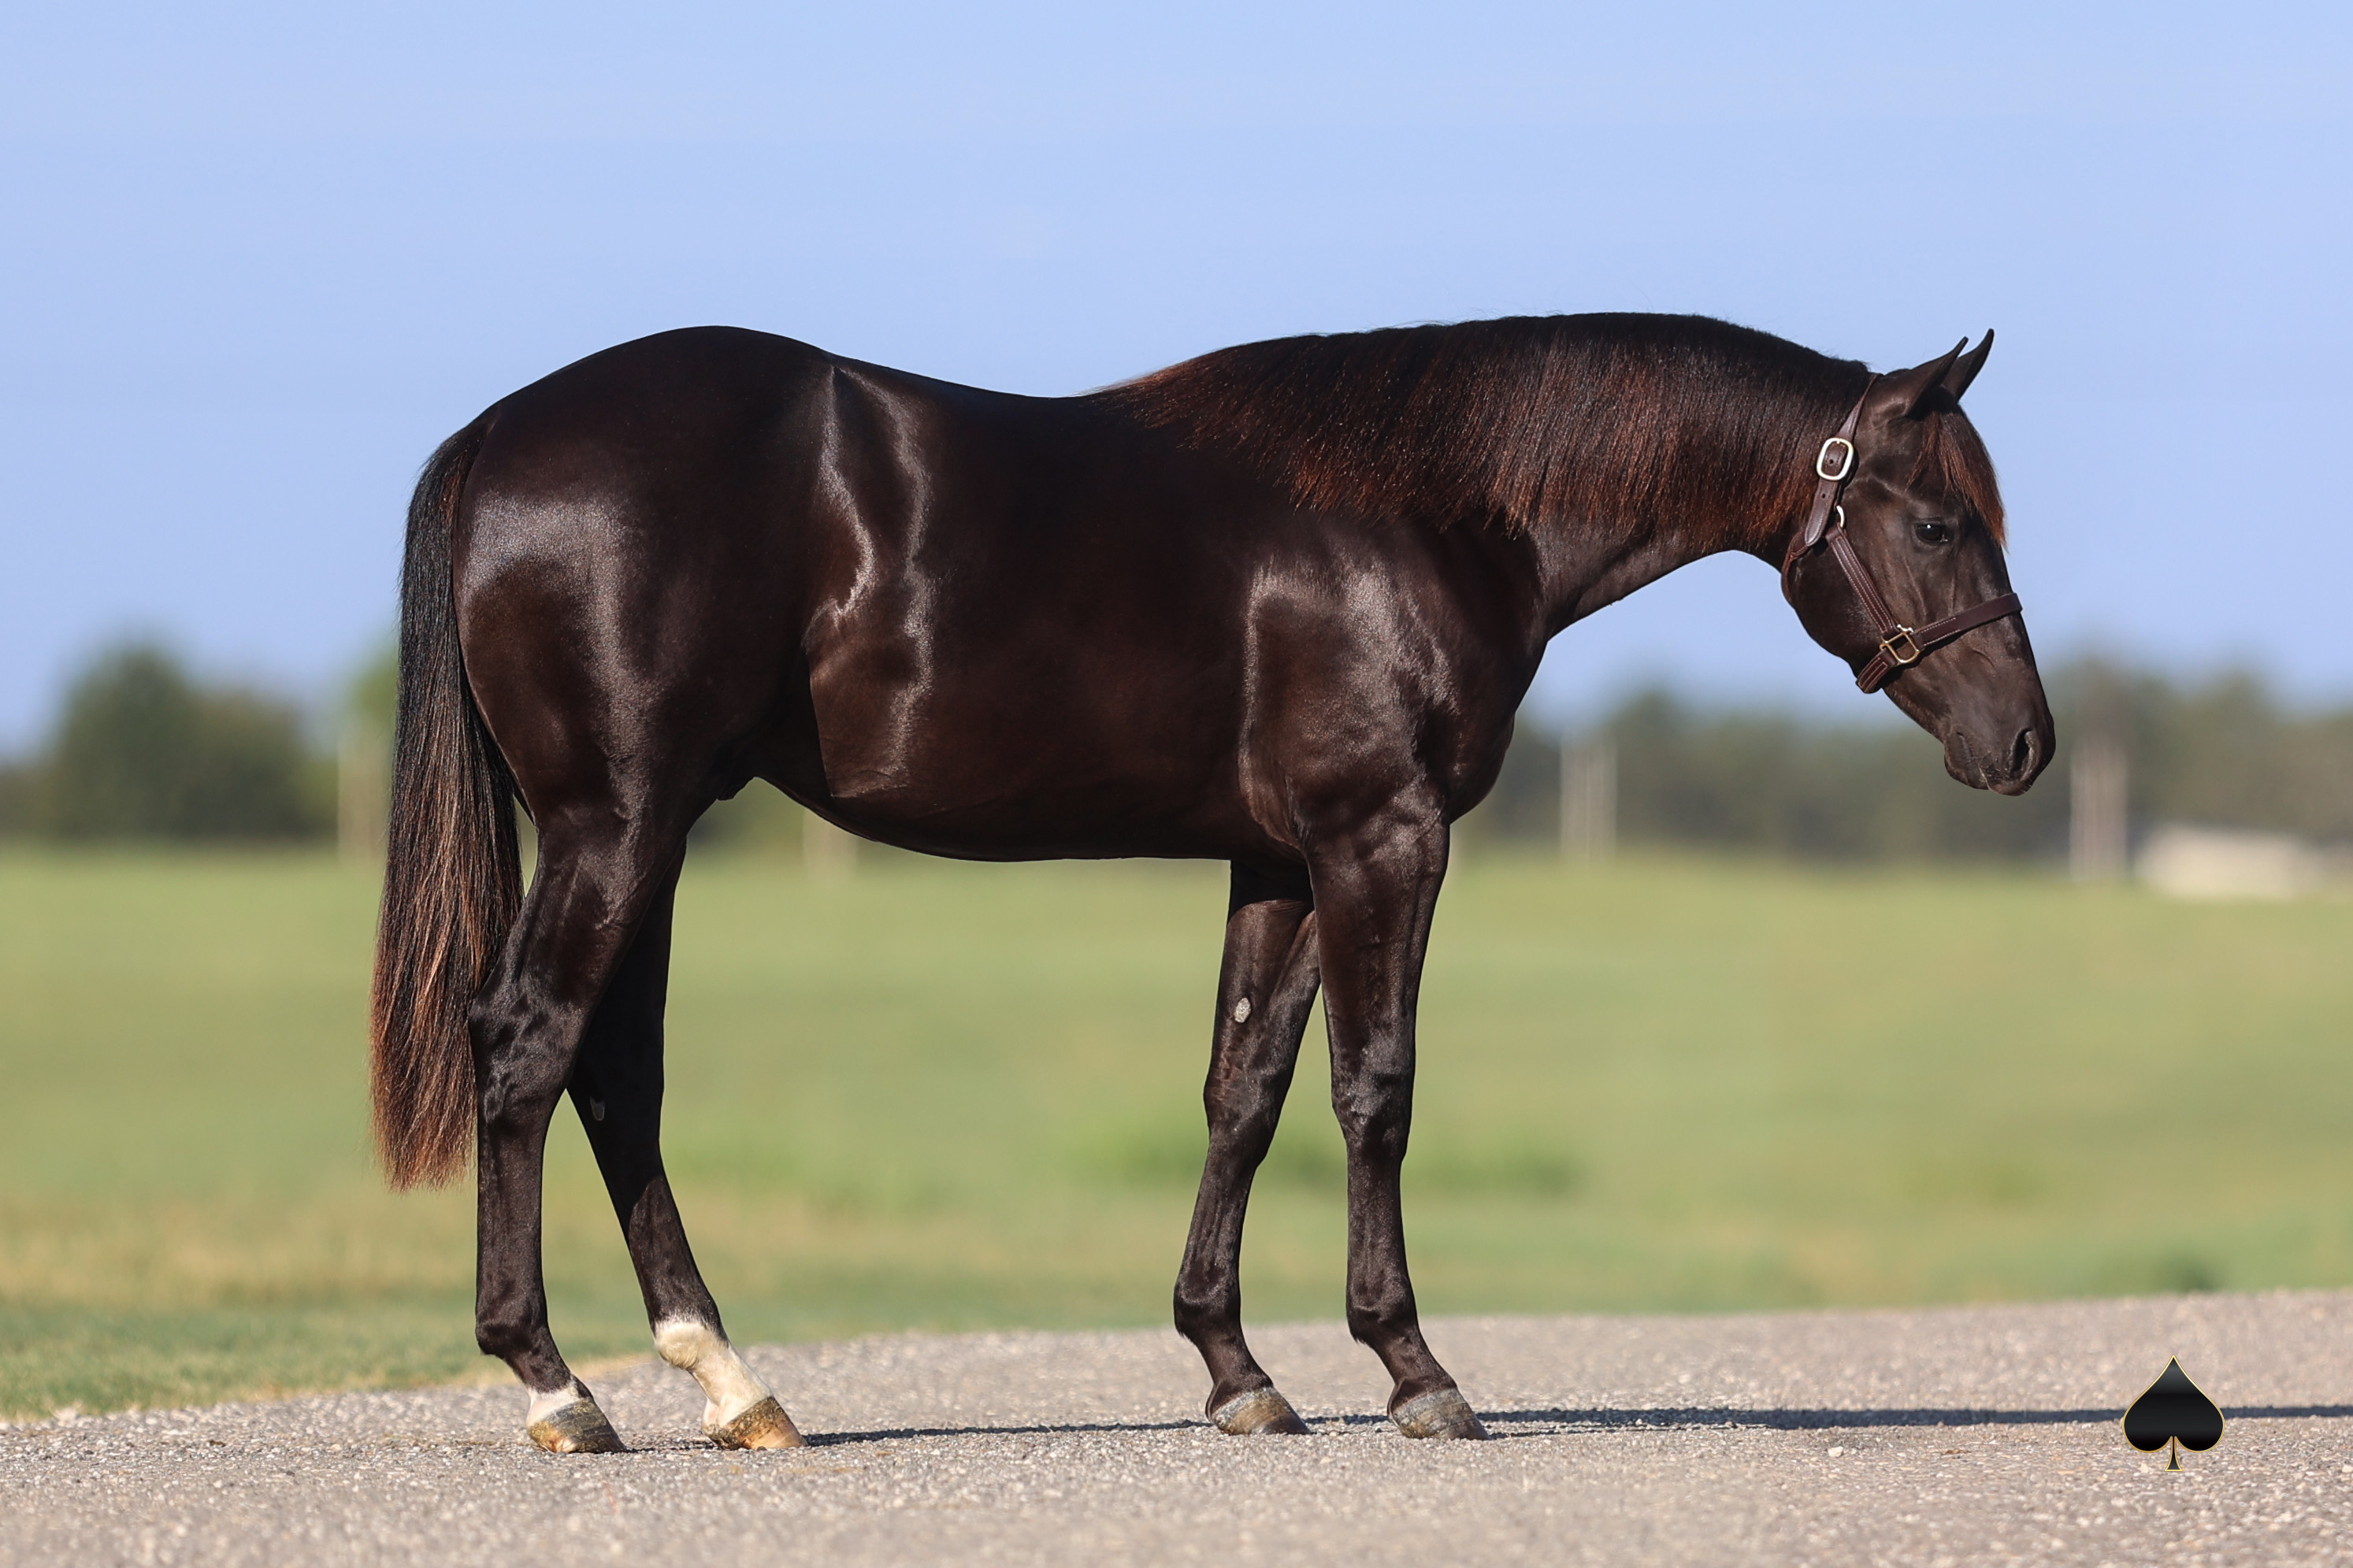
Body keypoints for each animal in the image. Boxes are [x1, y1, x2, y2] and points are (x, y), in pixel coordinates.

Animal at [370, 312, 2053, 1452]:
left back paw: (732, 1383)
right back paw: (558, 1387)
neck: (1431, 513)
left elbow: (1242, 1092)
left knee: (614, 1078)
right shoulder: (1384, 838)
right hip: (617, 822)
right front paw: (1414, 1371)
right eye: (1934, 519)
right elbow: (1375, 1089)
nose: (2024, 743)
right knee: (526, 1049)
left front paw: (1237, 1371)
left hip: (647, 831)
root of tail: (495, 437)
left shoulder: (1279, 860)